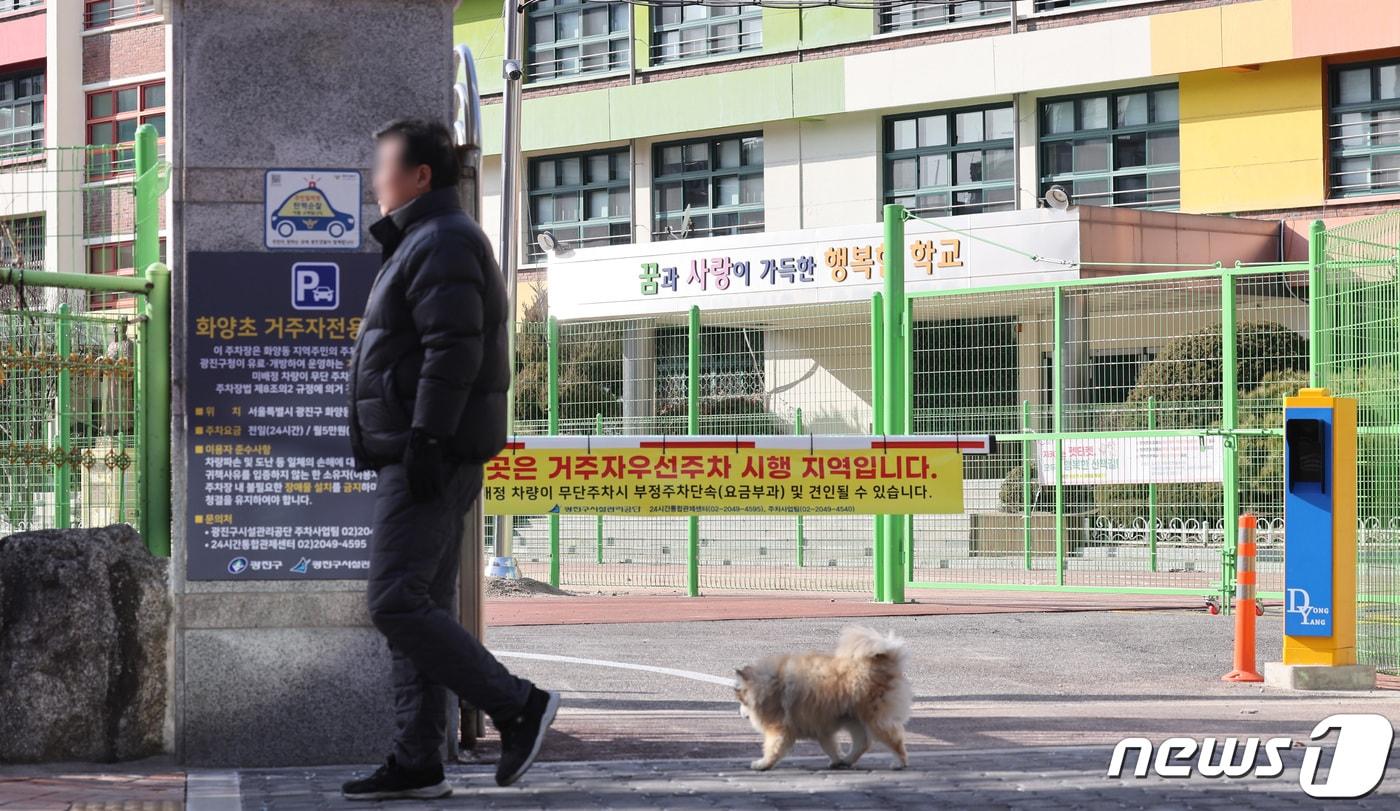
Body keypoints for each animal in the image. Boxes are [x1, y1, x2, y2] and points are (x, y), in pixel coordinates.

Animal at [733, 624, 918, 773]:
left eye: (741, 701)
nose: (740, 713)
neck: (769, 686)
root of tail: (888, 663)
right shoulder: (821, 729)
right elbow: (830, 748)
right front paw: (836, 760)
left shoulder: (780, 729)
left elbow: (773, 749)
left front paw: (763, 764)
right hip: (854, 719)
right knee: (863, 743)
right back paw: (846, 761)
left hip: (874, 719)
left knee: (894, 739)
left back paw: (899, 763)